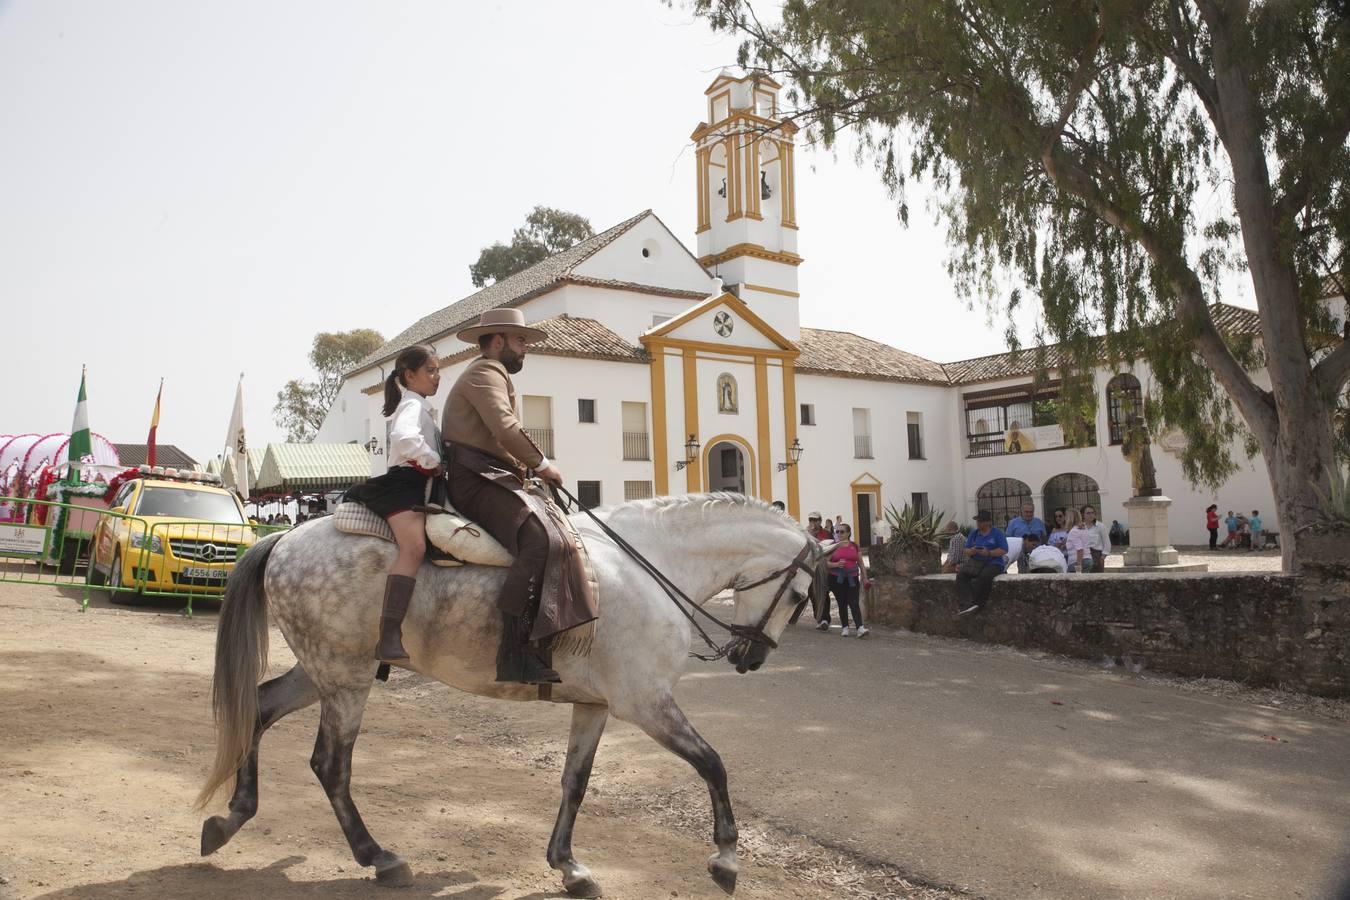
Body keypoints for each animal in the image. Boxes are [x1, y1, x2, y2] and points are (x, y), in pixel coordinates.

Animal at [195, 496, 826, 895]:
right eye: (800, 595)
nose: (750, 657)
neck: (650, 568)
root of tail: (284, 539)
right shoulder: (645, 703)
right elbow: (713, 764)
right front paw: (725, 858)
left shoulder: (594, 706)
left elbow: (575, 782)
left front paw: (568, 866)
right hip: (346, 680)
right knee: (330, 765)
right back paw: (378, 856)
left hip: (324, 672)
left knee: (260, 708)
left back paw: (232, 817)